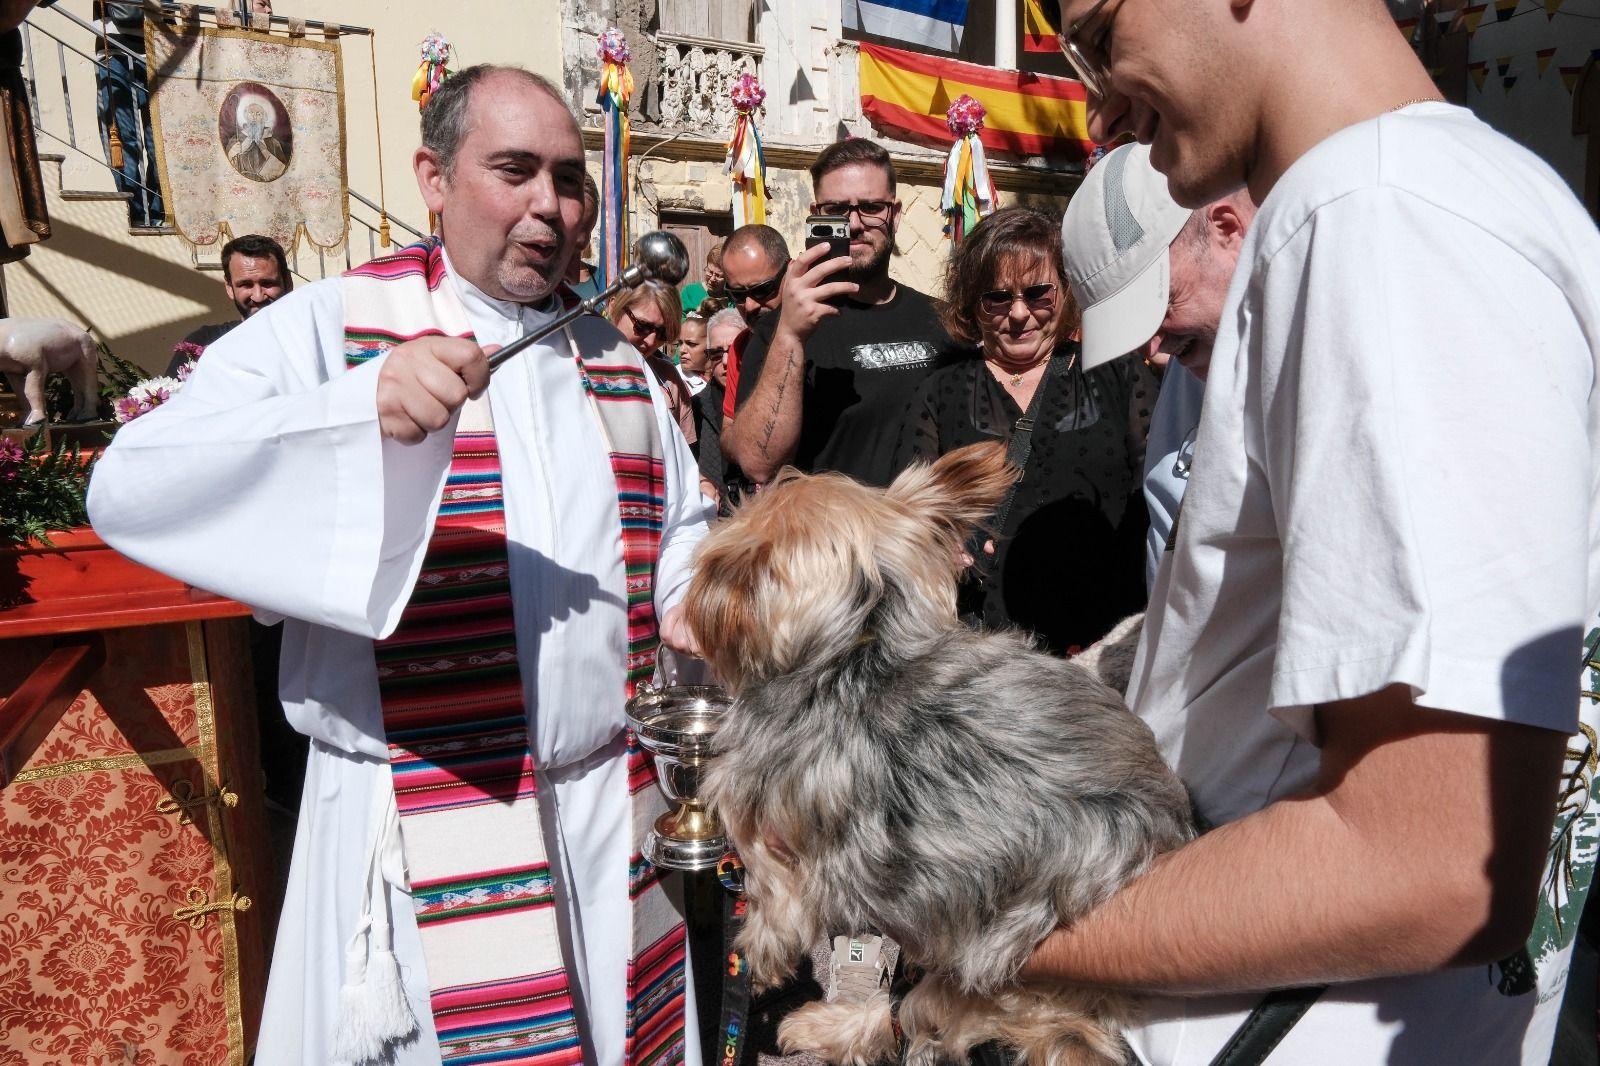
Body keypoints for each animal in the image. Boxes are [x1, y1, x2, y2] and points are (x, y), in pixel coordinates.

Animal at [681, 441, 1196, 1062]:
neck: (862, 645)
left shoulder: (758, 807)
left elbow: (771, 888)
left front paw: (758, 948)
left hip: (984, 969)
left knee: (914, 1012)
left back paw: (830, 1027)